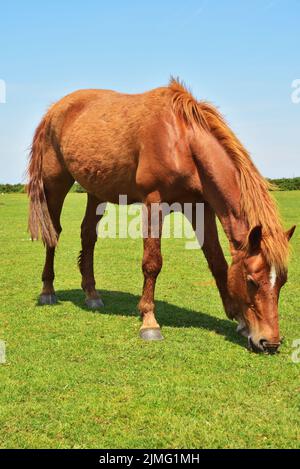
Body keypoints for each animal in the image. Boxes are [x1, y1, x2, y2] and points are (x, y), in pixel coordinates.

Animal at [27, 79, 296, 352]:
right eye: (252, 281)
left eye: (282, 281)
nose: (270, 342)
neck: (182, 141)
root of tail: (54, 110)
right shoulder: (153, 202)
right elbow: (152, 263)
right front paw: (149, 322)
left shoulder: (200, 208)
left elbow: (217, 262)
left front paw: (239, 320)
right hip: (55, 183)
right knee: (54, 233)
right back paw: (48, 291)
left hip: (95, 190)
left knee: (88, 235)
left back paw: (92, 294)